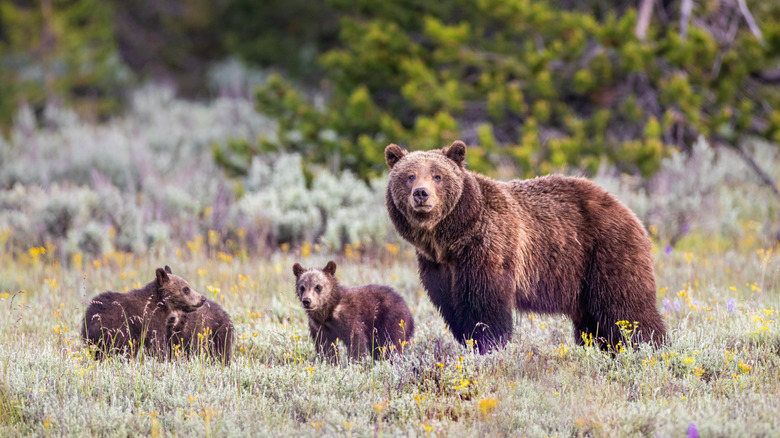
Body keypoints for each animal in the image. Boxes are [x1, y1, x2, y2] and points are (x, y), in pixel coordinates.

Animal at [384, 140, 664, 352]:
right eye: (409, 176)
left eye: (438, 176)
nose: (421, 193)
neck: (450, 239)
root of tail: (628, 211)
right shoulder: (437, 266)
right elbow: (452, 308)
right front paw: (469, 342)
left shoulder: (488, 248)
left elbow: (485, 307)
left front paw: (489, 345)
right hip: (583, 280)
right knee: (593, 322)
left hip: (605, 252)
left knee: (626, 309)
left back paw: (650, 347)